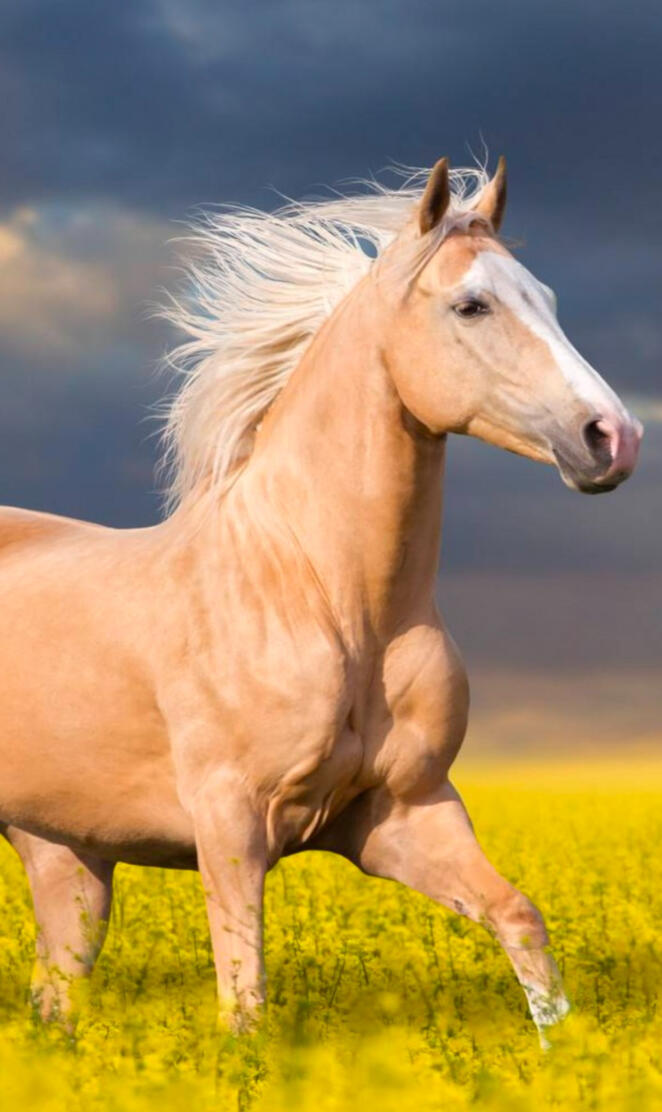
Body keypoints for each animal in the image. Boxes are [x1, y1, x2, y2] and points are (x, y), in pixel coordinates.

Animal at [0, 157, 642, 1038]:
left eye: (545, 295)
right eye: (471, 304)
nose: (613, 438)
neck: (326, 600)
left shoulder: (403, 814)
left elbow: (521, 920)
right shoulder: (230, 825)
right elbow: (245, 1001)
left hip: (66, 854)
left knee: (56, 996)